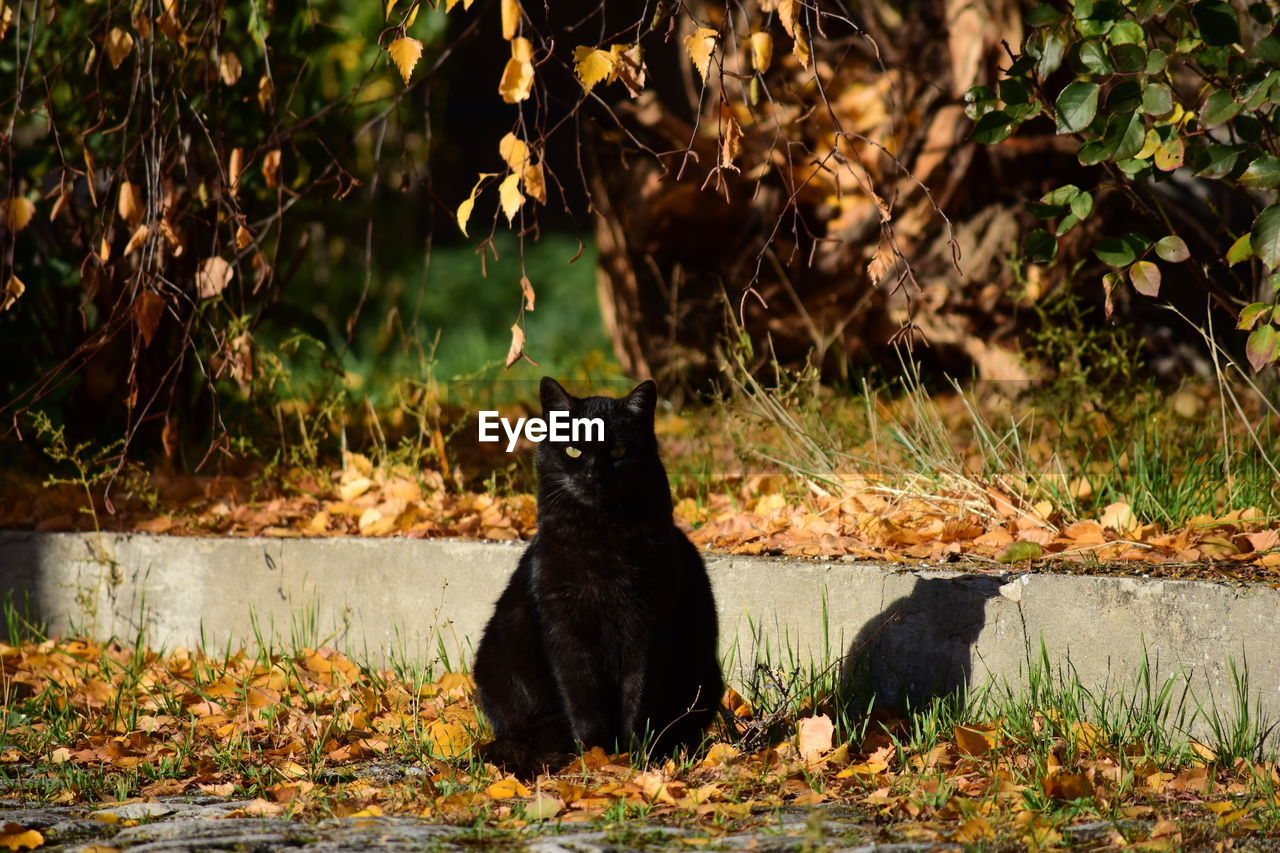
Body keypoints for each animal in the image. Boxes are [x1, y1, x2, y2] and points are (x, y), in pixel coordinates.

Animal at [476, 376, 727, 773]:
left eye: (619, 451)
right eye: (574, 450)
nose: (594, 475)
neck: (600, 538)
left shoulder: (648, 623)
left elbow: (639, 694)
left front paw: (636, 756)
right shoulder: (564, 628)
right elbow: (582, 695)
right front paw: (597, 755)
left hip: (707, 680)